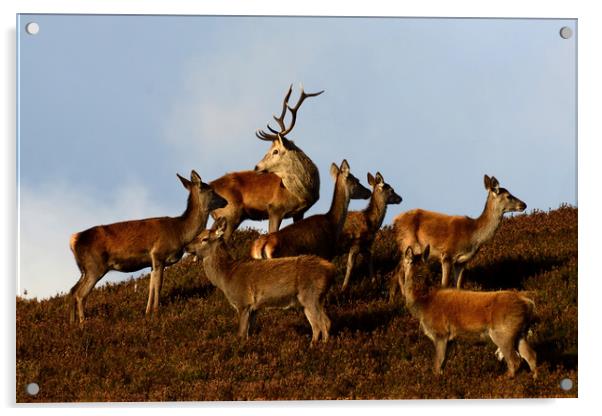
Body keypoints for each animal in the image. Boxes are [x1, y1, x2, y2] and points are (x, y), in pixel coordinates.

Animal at [68, 171, 226, 324]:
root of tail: (74, 241)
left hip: (85, 269)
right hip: (95, 266)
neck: (180, 233)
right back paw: (83, 323)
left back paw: (72, 323)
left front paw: (147, 312)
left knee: (72, 290)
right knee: (80, 294)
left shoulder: (151, 262)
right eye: (211, 190)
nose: (226, 201)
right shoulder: (159, 254)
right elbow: (158, 285)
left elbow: (151, 286)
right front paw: (156, 312)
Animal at [184, 218, 332, 344]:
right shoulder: (254, 308)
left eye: (204, 238)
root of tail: (331, 270)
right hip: (311, 300)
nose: (186, 247)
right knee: (322, 323)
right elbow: (249, 333)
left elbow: (241, 334)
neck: (226, 277)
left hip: (311, 296)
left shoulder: (243, 302)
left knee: (322, 323)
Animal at [211, 83, 324, 240]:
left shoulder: (299, 212)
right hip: (230, 213)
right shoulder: (275, 208)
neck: (302, 194)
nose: (256, 166)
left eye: (275, 151)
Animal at [390, 175, 524, 300]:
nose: (524, 204)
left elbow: (458, 286)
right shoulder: (447, 255)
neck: (473, 236)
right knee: (399, 271)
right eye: (508, 196)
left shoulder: (462, 261)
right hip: (407, 244)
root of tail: (394, 221)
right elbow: (444, 285)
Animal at [398, 245, 536, 378]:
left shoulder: (440, 333)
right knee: (531, 356)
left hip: (503, 333)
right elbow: (443, 363)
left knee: (515, 360)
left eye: (404, 261)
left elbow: (438, 364)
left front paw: (437, 380)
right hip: (520, 332)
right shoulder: (450, 339)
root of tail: (528, 303)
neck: (423, 303)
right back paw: (535, 378)